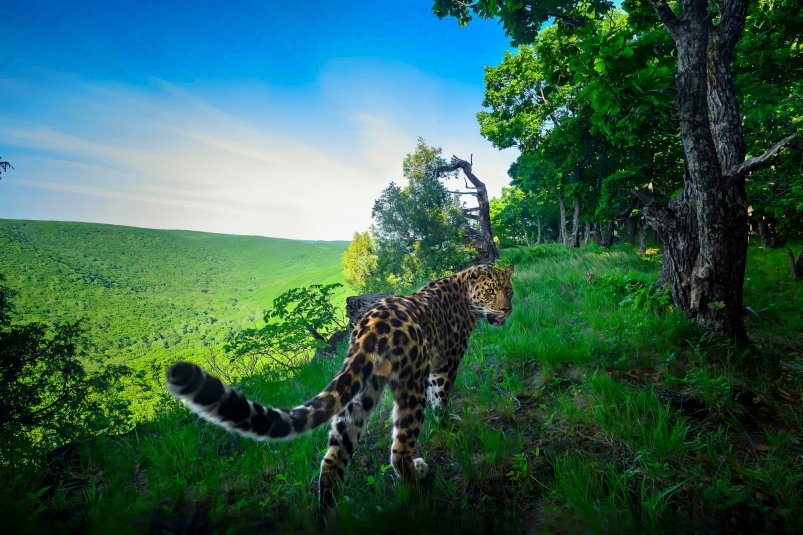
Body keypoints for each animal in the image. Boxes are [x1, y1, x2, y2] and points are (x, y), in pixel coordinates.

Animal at [166, 264, 516, 510]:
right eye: (490, 292)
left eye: (509, 291)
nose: (506, 309)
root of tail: (371, 325)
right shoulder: (446, 362)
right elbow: (440, 395)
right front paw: (447, 423)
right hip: (408, 383)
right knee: (398, 450)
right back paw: (417, 474)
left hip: (360, 391)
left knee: (333, 458)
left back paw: (331, 513)